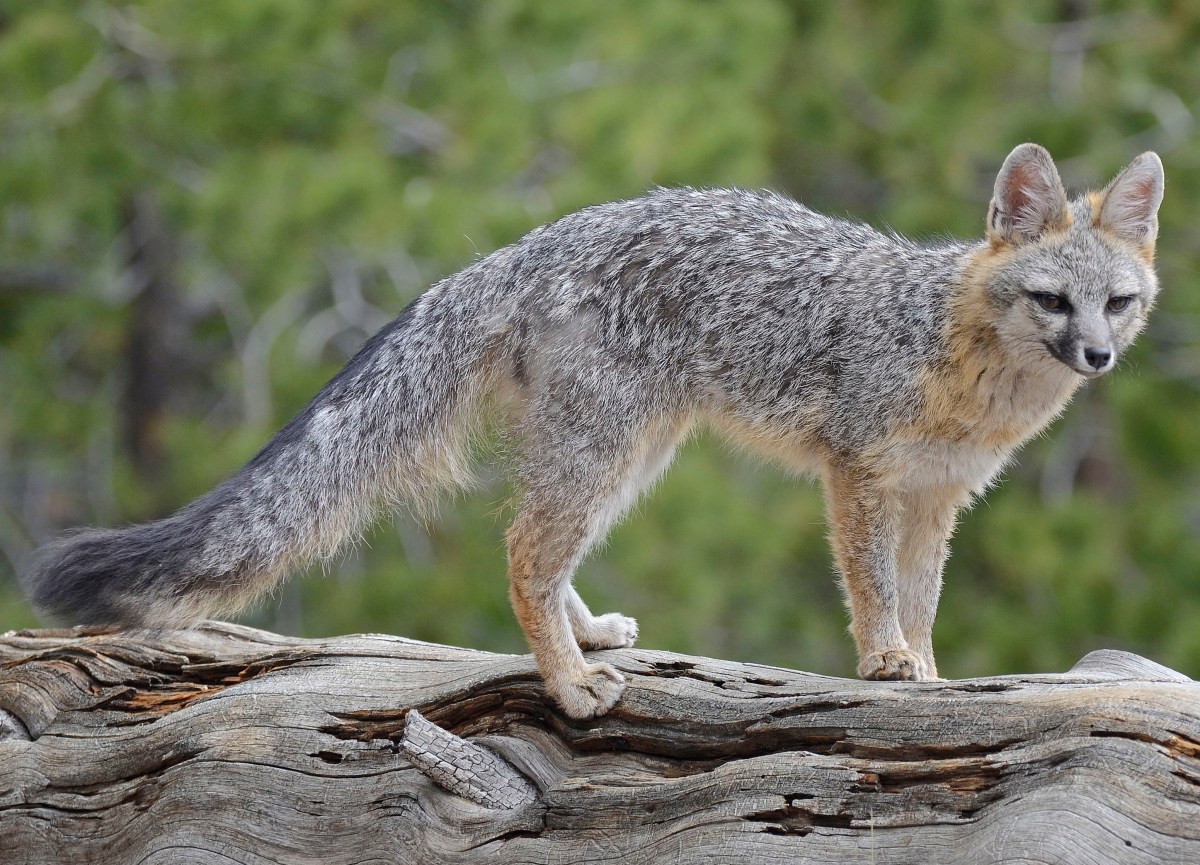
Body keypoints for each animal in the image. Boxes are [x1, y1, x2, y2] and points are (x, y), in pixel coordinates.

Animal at [23, 144, 1164, 719]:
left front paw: (928, 668)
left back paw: (585, 640)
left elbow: (922, 598)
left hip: (633, 457)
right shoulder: (859, 474)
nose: (1098, 359)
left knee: (545, 551)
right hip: (610, 451)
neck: (956, 352)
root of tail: (521, 246)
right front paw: (886, 663)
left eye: (1120, 304)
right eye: (1053, 300)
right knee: (524, 551)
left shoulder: (938, 496)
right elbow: (875, 588)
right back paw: (568, 683)